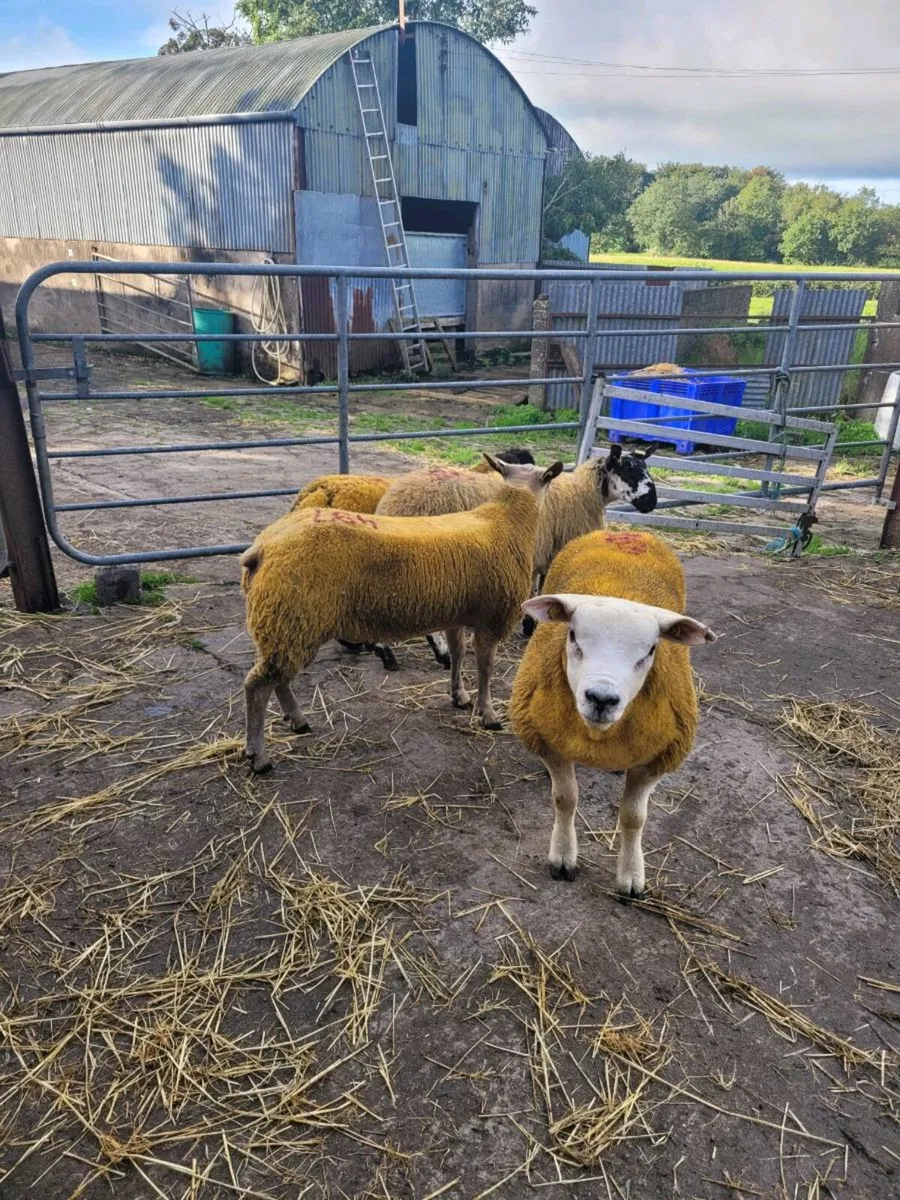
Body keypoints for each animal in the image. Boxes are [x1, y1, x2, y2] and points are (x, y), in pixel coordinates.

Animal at [240, 455, 563, 773]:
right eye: (547, 482)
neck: (505, 518)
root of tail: (262, 548)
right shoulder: (492, 618)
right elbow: (486, 668)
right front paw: (489, 714)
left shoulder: (456, 613)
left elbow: (458, 653)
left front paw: (458, 696)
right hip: (292, 618)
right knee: (258, 686)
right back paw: (259, 756)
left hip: (287, 624)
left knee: (278, 678)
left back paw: (297, 721)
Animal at [509, 529, 716, 897]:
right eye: (573, 636)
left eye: (651, 650)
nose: (602, 698)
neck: (597, 737)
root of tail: (624, 532)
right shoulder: (548, 741)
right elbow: (565, 799)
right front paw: (563, 857)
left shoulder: (657, 758)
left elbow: (634, 818)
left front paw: (631, 874)